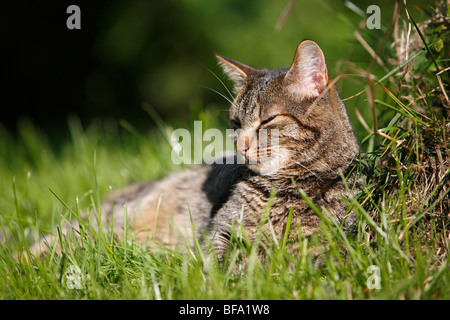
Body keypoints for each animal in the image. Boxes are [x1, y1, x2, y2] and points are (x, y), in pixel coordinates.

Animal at [28, 40, 360, 264]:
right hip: (106, 222)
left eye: (267, 121)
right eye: (236, 123)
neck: (285, 187)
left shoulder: (332, 242)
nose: (239, 146)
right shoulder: (221, 230)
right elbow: (216, 263)